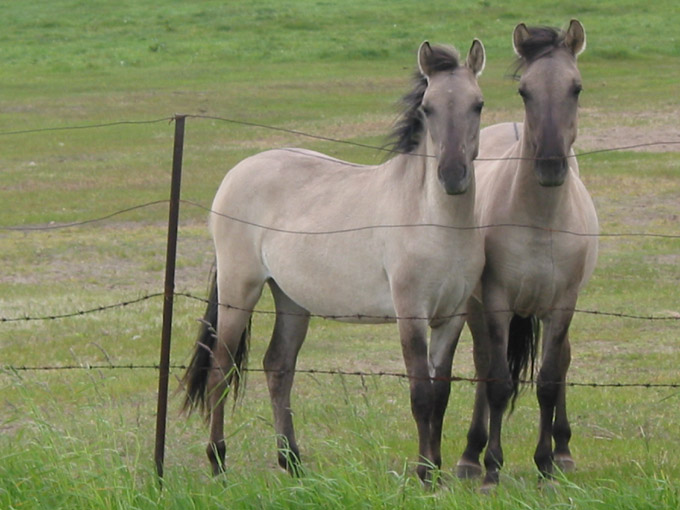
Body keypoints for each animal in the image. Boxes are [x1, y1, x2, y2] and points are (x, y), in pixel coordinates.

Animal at [183, 39, 486, 482]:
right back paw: (218, 461)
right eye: (428, 108)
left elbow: (441, 394)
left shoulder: (452, 316)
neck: (434, 219)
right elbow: (420, 395)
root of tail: (239, 171)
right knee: (221, 370)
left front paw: (434, 469)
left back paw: (292, 462)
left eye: (477, 105)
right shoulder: (410, 313)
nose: (452, 176)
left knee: (278, 366)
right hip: (240, 291)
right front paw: (423, 475)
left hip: (291, 299)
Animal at [454, 20, 596, 490]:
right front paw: (491, 469)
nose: (550, 166)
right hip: (476, 307)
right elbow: (498, 382)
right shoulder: (498, 302)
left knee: (563, 361)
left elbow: (550, 379)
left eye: (576, 88)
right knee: (483, 364)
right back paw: (469, 456)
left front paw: (547, 465)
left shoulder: (562, 304)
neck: (541, 222)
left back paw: (564, 450)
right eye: (525, 91)